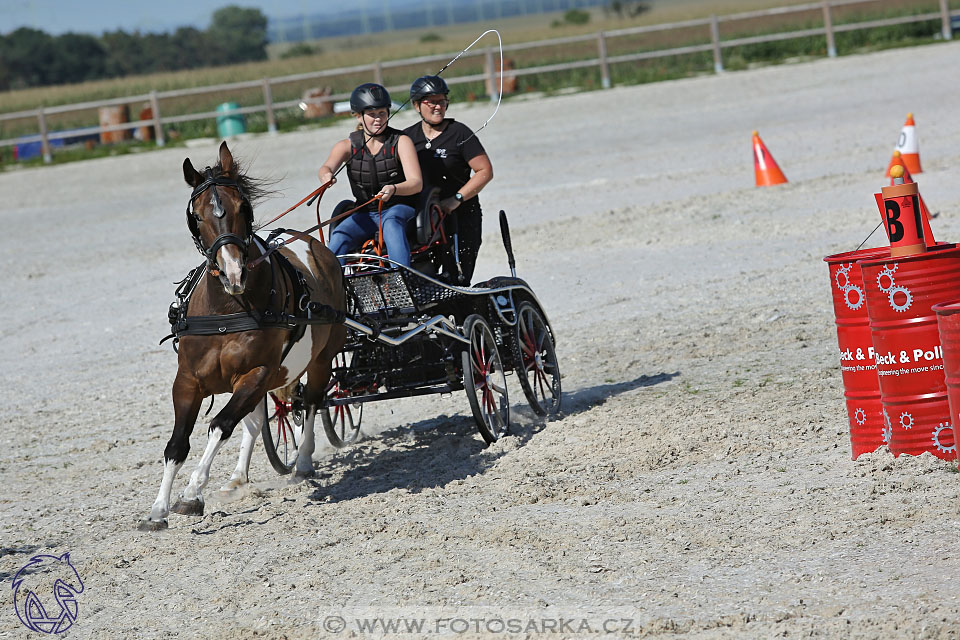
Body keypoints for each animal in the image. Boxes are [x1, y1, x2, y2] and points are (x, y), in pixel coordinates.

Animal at [135, 142, 344, 532]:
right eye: (198, 216)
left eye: (242, 208)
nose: (234, 273)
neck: (226, 311)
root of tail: (315, 244)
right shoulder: (187, 381)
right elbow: (177, 445)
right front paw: (157, 511)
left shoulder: (257, 373)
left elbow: (220, 426)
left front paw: (191, 494)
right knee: (259, 420)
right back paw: (237, 479)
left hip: (321, 359)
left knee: (311, 403)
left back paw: (303, 463)